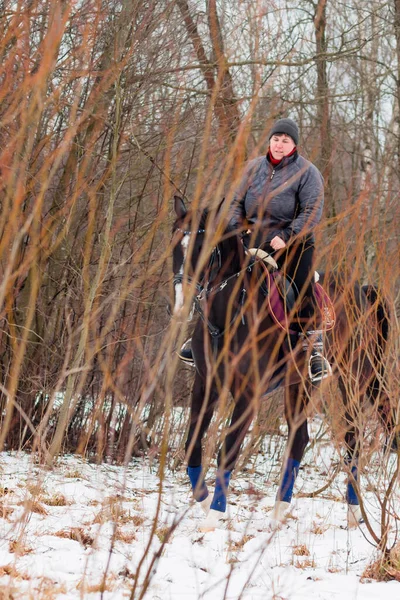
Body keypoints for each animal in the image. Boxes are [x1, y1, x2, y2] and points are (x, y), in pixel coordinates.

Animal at [171, 196, 390, 528]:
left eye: (203, 246)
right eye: (175, 243)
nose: (181, 303)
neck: (230, 317)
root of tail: (363, 292)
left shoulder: (248, 395)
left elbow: (228, 450)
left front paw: (214, 516)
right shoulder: (206, 385)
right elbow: (192, 446)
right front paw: (205, 500)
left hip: (353, 379)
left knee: (353, 437)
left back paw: (353, 513)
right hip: (300, 384)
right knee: (300, 438)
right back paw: (278, 512)